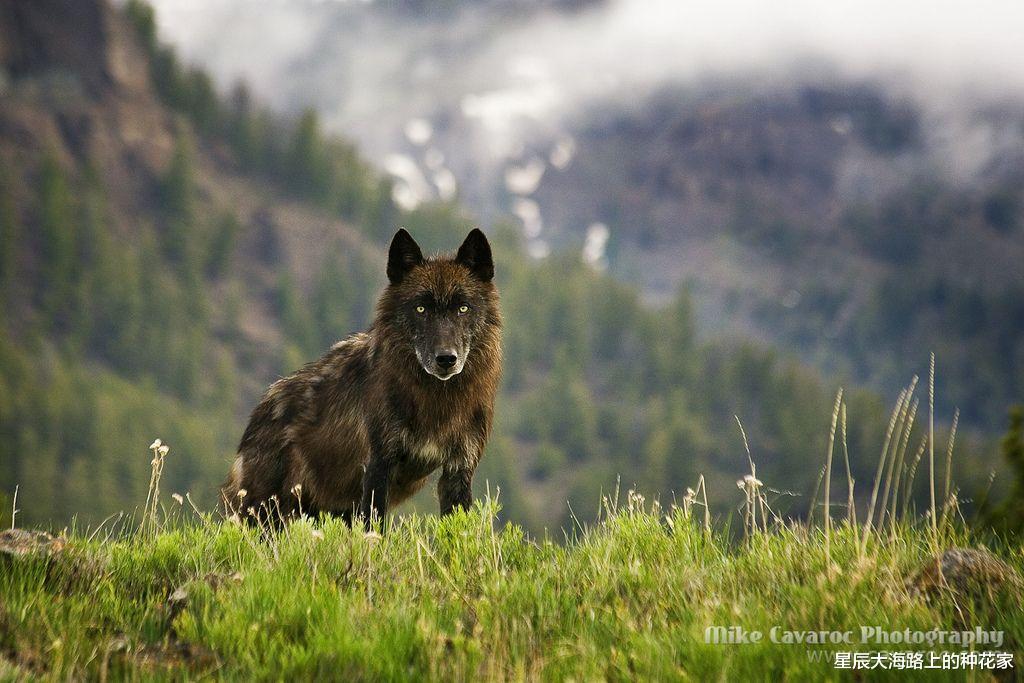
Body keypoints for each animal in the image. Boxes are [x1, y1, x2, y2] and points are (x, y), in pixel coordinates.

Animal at [222, 229, 501, 528]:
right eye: (421, 309)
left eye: (463, 308)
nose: (446, 359)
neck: (435, 401)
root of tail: (262, 406)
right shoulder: (379, 465)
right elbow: (375, 529)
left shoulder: (459, 469)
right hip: (267, 513)